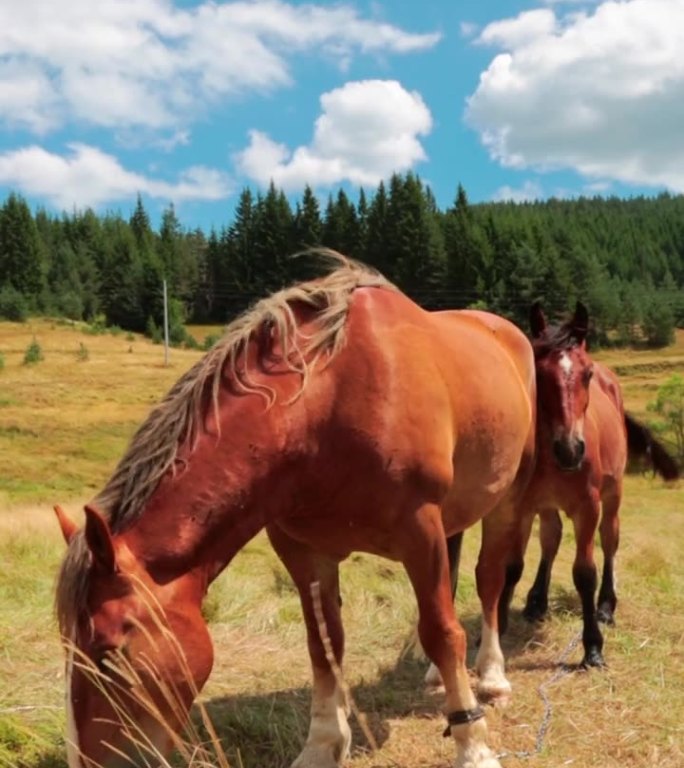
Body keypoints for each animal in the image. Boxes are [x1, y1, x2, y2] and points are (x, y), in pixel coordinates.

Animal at [54, 255, 536, 768]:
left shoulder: (419, 529)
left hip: (506, 496)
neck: (325, 406)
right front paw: (323, 744)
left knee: (488, 581)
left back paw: (491, 677)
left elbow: (443, 631)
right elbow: (323, 645)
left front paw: (474, 746)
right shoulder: (302, 549)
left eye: (109, 652)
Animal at [436, 304, 676, 680]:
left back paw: (606, 606)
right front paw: (497, 629)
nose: (570, 450)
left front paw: (592, 648)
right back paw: (537, 601)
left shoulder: (587, 507)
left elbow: (585, 573)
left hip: (612, 496)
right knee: (551, 538)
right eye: (540, 373)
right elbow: (511, 567)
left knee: (610, 541)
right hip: (546, 505)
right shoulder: (521, 506)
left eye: (586, 374)